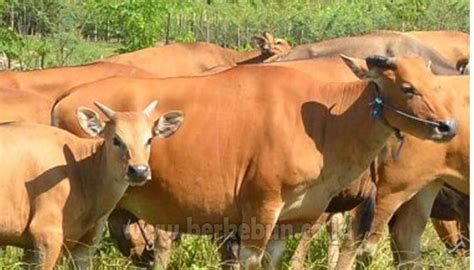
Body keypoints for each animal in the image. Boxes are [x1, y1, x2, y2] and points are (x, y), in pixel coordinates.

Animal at [51, 56, 456, 268]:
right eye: (407, 87)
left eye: (436, 85)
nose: (448, 126)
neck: (322, 126)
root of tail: (67, 97)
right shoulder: (260, 211)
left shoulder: (289, 220)